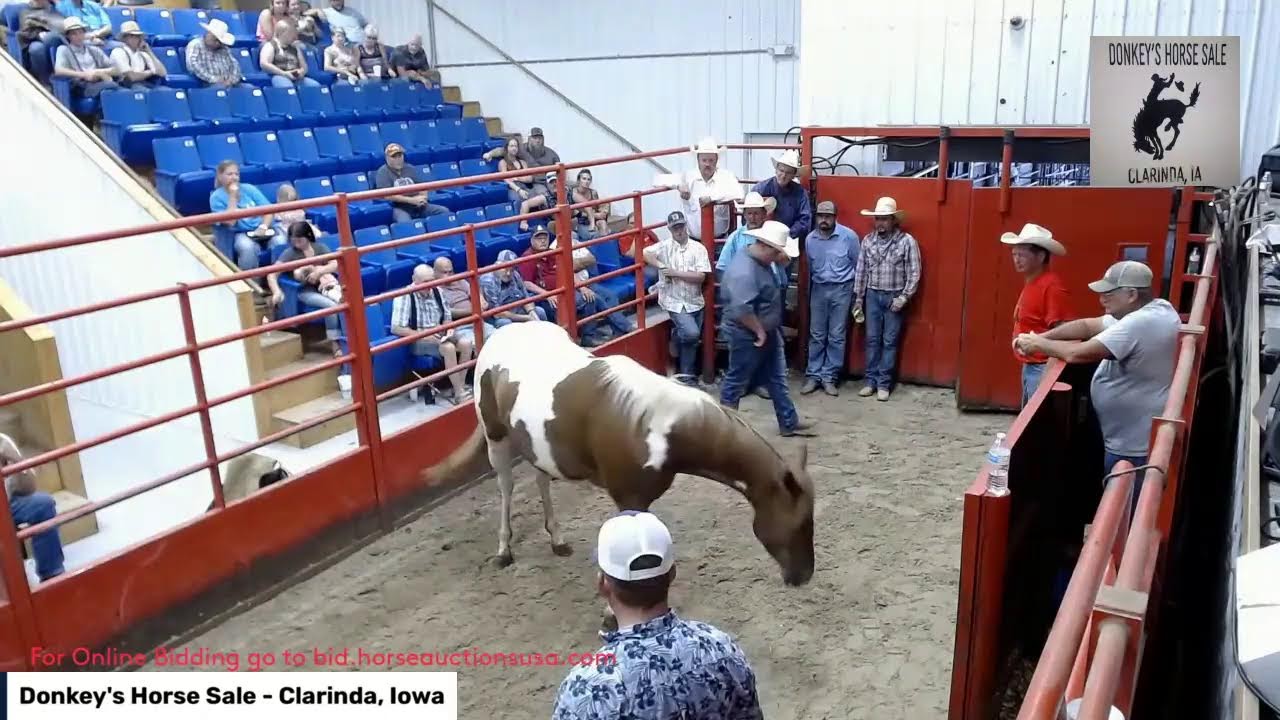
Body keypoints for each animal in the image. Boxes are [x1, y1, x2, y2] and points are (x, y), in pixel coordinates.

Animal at [420, 320, 816, 590]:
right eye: (799, 523)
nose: (804, 575)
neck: (657, 426)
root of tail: (500, 334)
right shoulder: (629, 499)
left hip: (535, 444)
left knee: (541, 480)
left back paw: (557, 540)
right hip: (497, 439)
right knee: (506, 488)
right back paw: (504, 550)